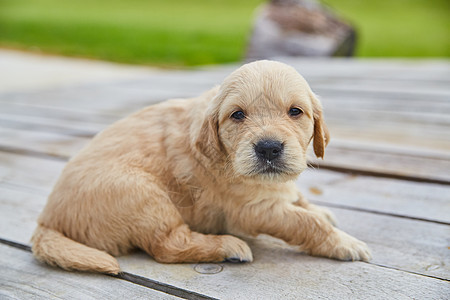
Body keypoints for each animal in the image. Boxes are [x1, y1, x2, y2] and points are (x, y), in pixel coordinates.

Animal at [30, 59, 370, 274]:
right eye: (237, 115)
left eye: (295, 111)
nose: (269, 148)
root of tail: (47, 220)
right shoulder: (252, 210)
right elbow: (305, 223)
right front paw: (343, 243)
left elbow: (300, 200)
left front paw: (318, 209)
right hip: (143, 193)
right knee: (168, 246)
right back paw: (229, 246)